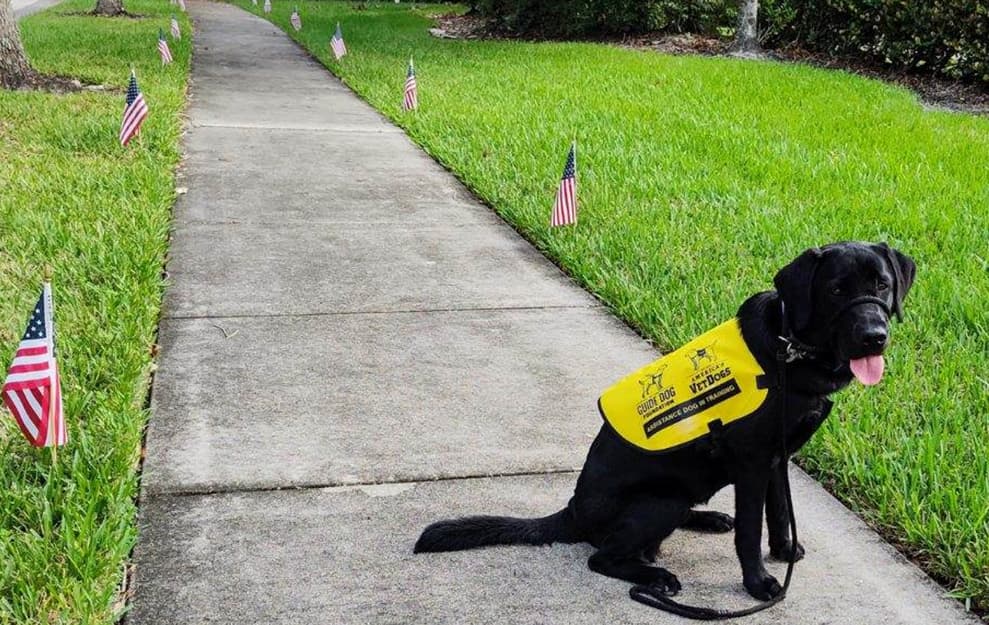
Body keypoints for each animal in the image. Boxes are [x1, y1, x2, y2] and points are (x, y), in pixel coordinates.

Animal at [412, 243, 916, 608]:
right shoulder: (754, 463)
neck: (789, 351)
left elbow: (778, 512)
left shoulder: (778, 458)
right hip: (662, 500)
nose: (875, 337)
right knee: (603, 556)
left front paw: (784, 550)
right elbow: (750, 531)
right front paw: (759, 582)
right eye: (836, 291)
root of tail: (573, 510)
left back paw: (708, 519)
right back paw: (656, 575)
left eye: (882, 284)